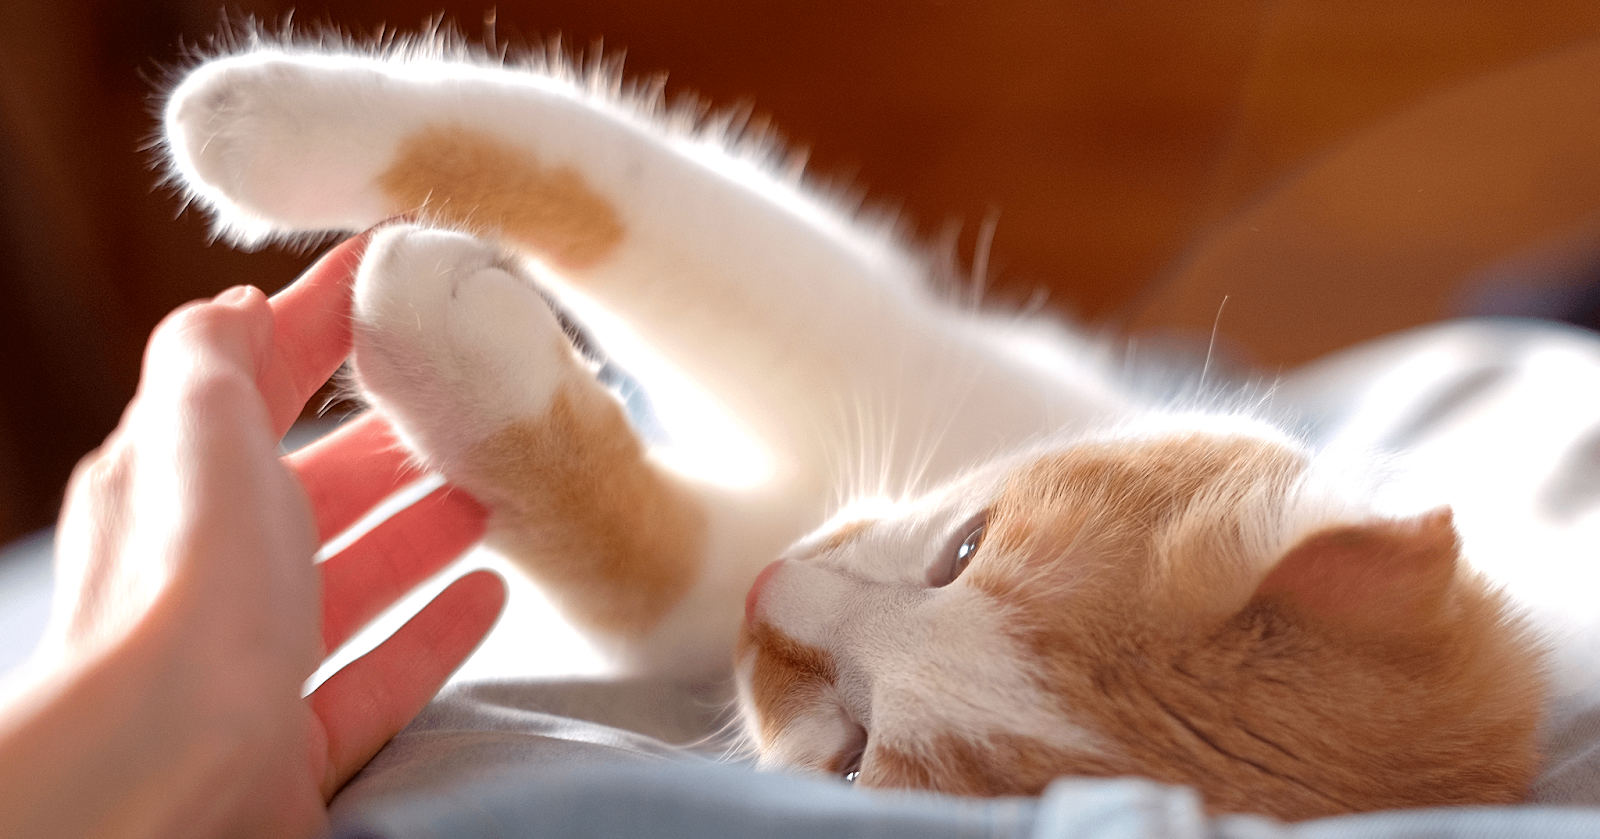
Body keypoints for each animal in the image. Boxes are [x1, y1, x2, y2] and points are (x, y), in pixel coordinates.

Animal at [156, 34, 1542, 819]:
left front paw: (438, 333)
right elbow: (624, 184)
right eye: (966, 546)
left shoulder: (699, 598)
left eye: (858, 761)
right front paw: (260, 116)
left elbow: (630, 551)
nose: (770, 598)